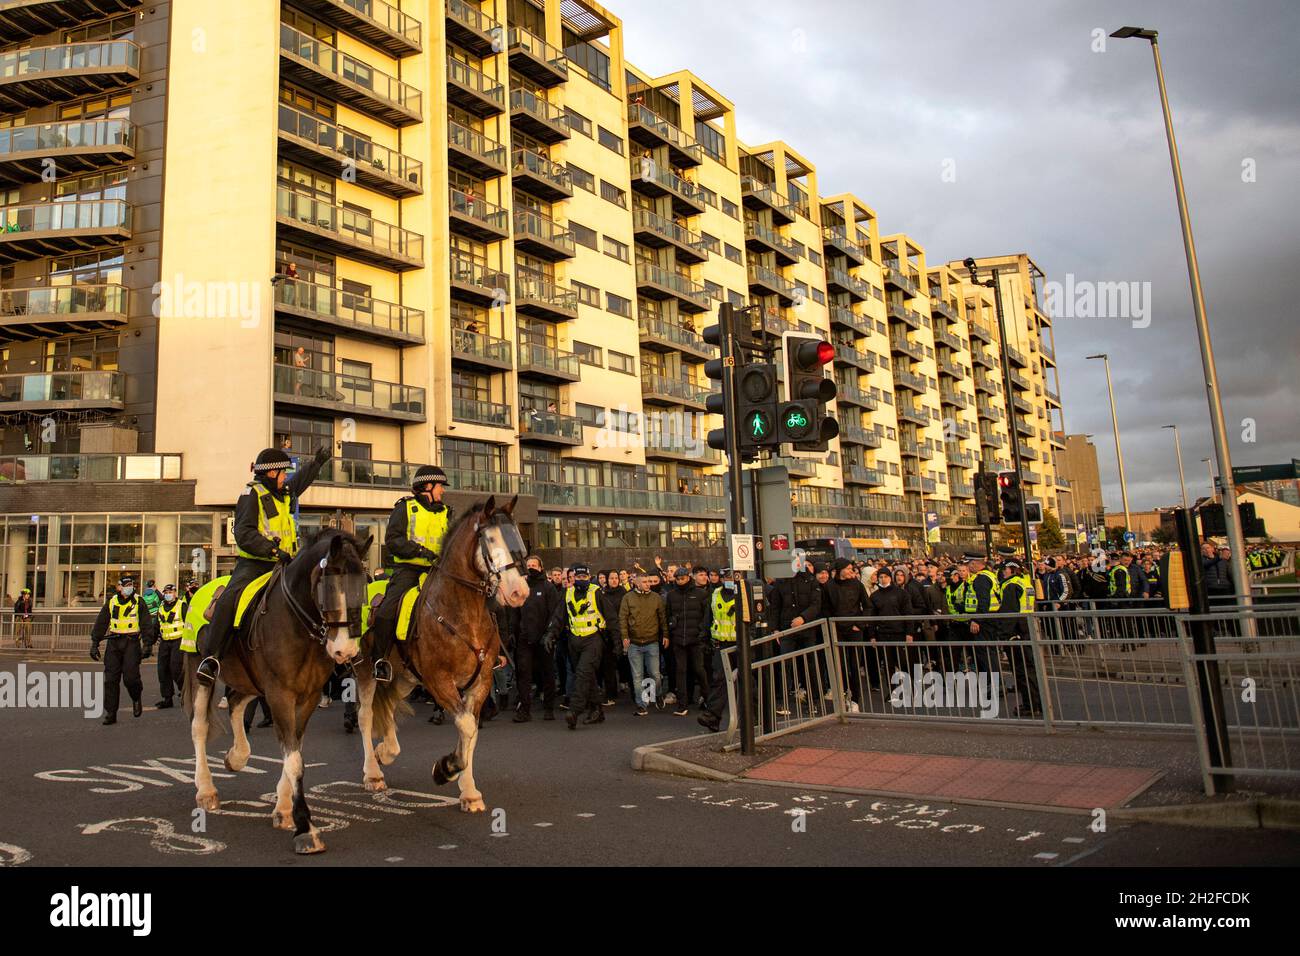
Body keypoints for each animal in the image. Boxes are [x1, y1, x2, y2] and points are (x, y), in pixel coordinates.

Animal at [182, 530, 371, 853]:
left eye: (364, 584)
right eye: (328, 587)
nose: (344, 651)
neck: (298, 624)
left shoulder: (306, 696)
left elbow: (294, 749)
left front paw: (283, 810)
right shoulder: (280, 694)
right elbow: (294, 760)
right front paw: (305, 827)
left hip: (250, 679)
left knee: (235, 702)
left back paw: (237, 756)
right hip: (202, 669)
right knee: (198, 726)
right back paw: (206, 789)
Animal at [356, 494, 527, 816]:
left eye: (517, 536)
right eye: (490, 539)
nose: (518, 592)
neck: (461, 613)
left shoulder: (480, 683)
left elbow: (470, 731)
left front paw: (468, 791)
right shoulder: (439, 681)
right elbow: (467, 726)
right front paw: (446, 768)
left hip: (404, 677)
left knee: (390, 706)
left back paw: (387, 752)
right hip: (366, 670)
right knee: (365, 715)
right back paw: (373, 772)